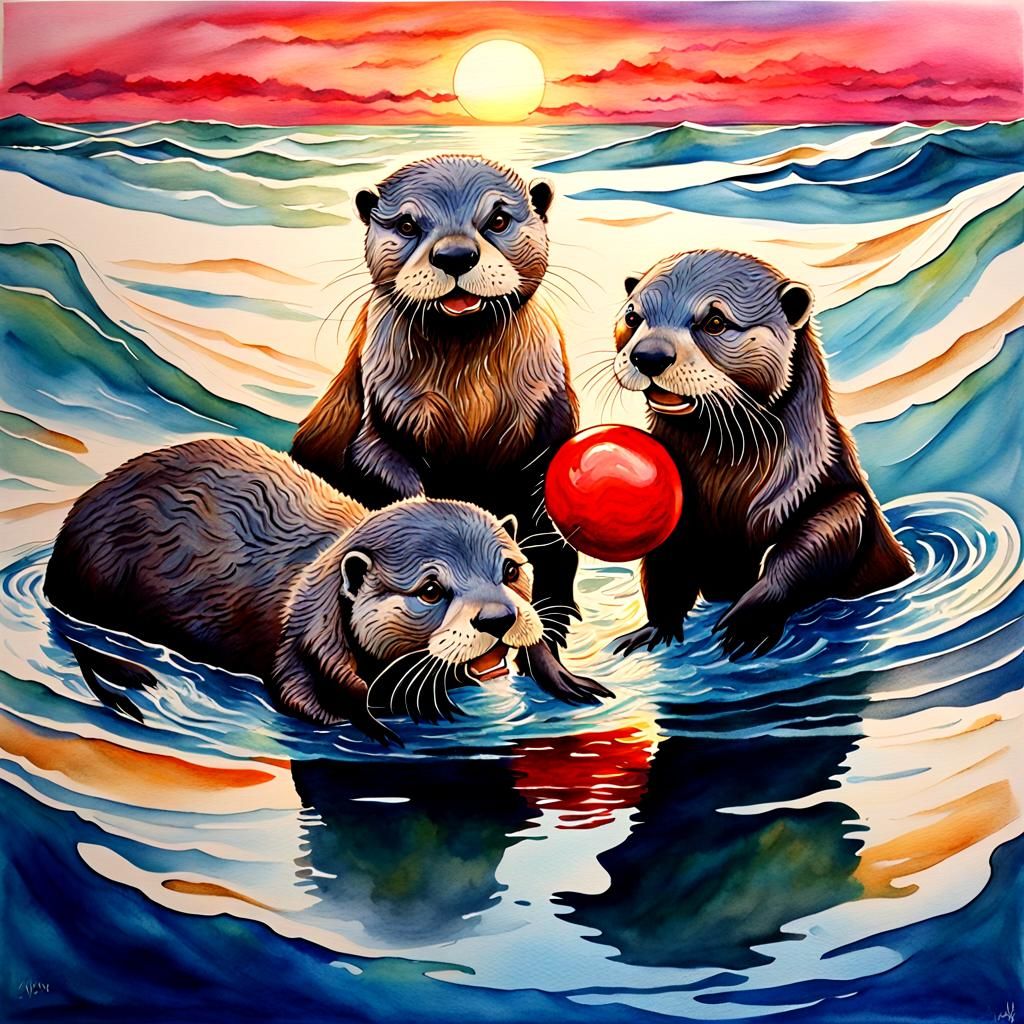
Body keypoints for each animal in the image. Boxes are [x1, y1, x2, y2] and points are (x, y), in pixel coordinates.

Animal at [291, 155, 611, 705]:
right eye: (407, 224)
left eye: (498, 219)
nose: (456, 253)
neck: (469, 408)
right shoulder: (379, 425)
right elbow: (388, 476)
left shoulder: (550, 432)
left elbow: (547, 539)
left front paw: (551, 645)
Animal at [610, 250, 914, 659]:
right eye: (633, 317)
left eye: (715, 321)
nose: (650, 354)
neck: (727, 493)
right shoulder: (677, 508)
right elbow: (664, 565)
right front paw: (654, 628)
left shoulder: (827, 491)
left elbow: (817, 541)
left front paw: (746, 621)